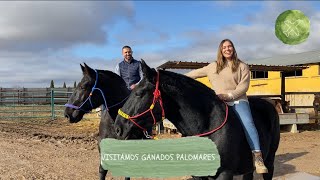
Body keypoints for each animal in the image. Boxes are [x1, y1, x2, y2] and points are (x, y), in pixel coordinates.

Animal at [114, 60, 278, 180]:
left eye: (139, 93)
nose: (118, 128)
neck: (208, 126)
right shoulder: (198, 174)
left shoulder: (225, 173)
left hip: (269, 162)